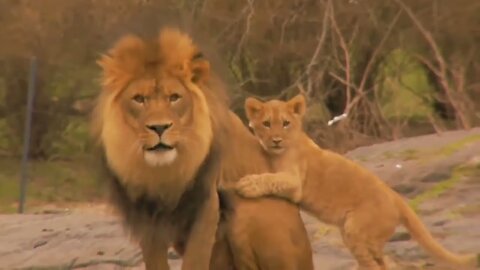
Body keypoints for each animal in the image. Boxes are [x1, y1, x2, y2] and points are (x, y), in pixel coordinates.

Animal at [92, 28, 314, 270]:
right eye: (139, 99)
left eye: (174, 97)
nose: (159, 127)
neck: (163, 173)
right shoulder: (146, 213)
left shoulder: (206, 204)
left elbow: (195, 258)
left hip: (245, 208)